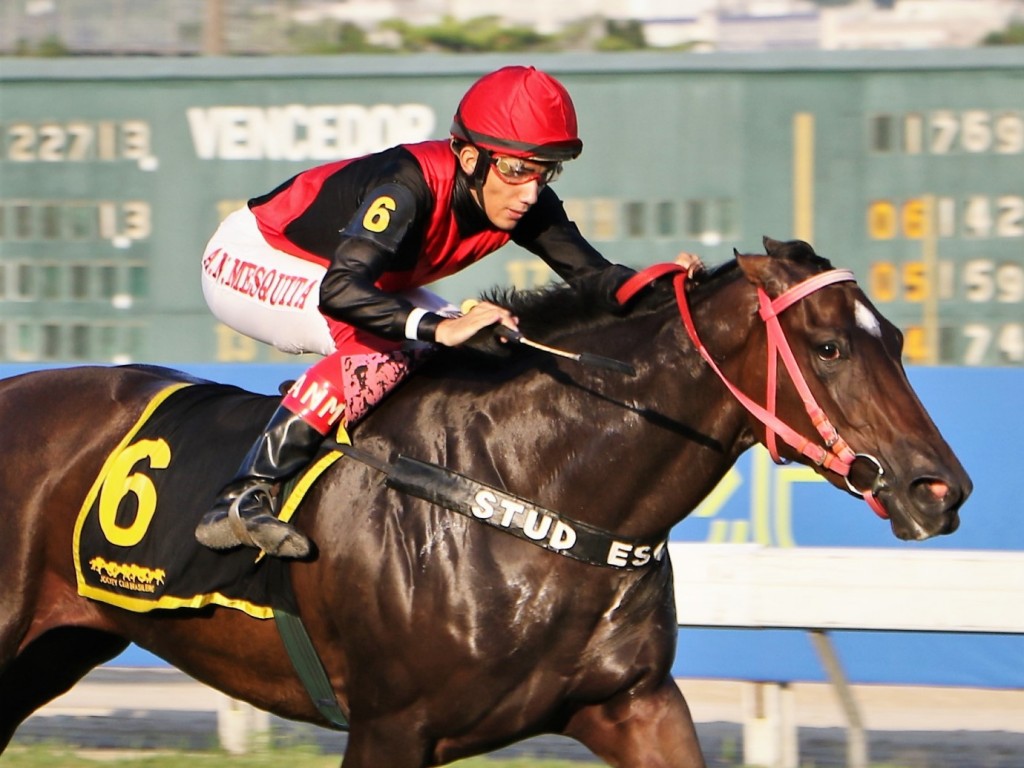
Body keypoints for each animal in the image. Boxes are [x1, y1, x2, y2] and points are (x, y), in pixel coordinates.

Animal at [0, 237, 970, 765]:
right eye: (830, 346)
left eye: (895, 336)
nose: (942, 488)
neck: (528, 493)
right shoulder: (390, 729)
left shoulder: (634, 703)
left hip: (55, 648)